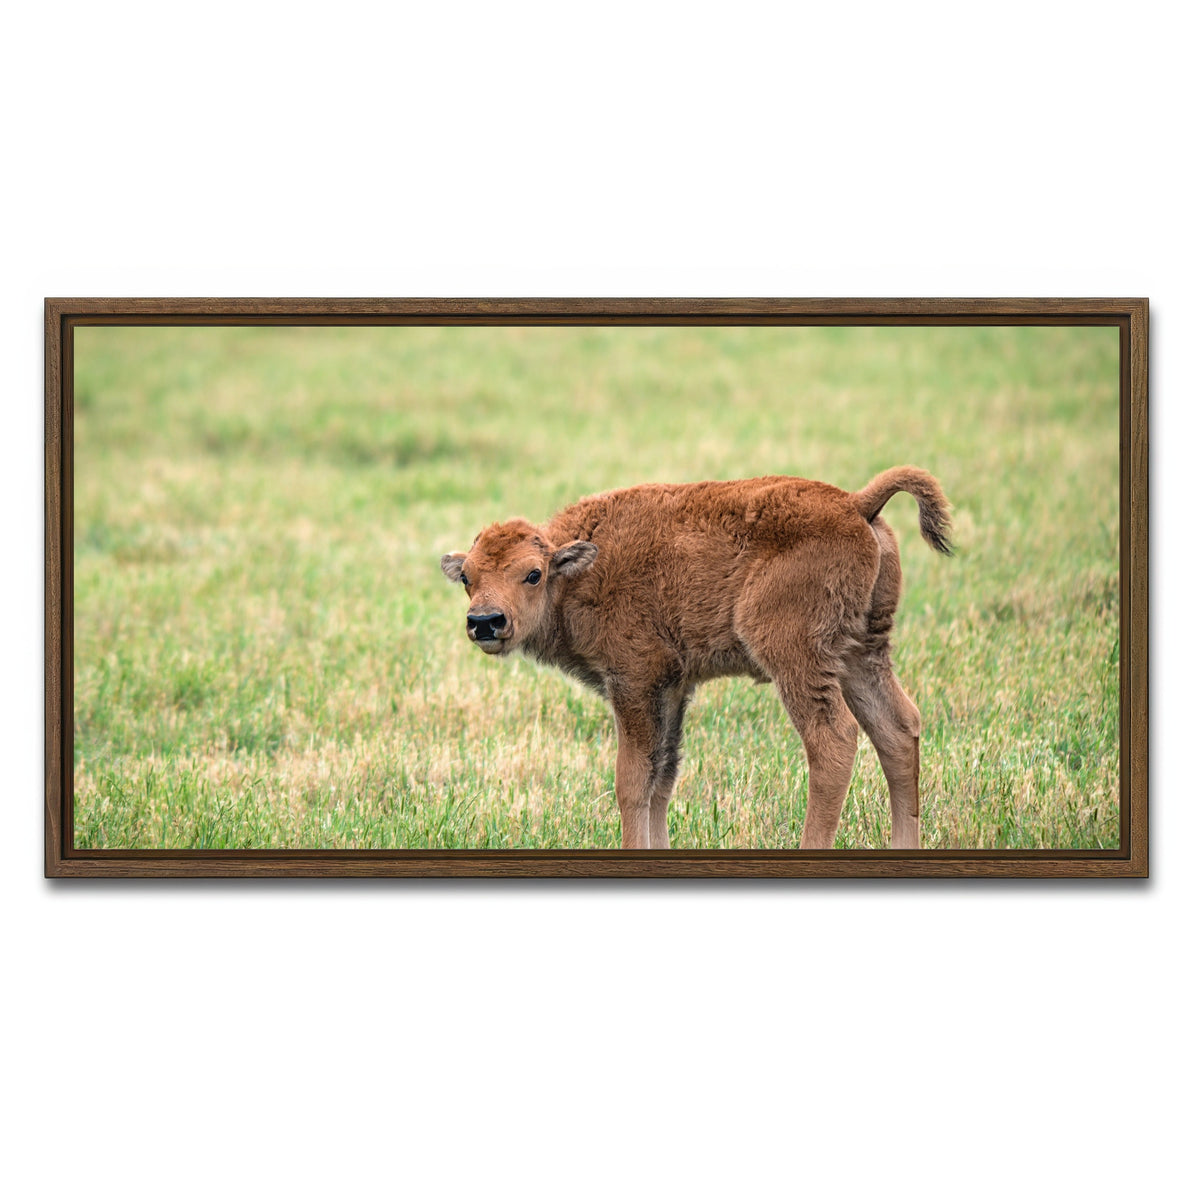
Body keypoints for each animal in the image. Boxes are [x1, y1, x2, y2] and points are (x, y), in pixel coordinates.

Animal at [440, 467, 952, 851]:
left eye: (533, 574)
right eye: (467, 577)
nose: (485, 621)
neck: (578, 570)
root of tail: (855, 503)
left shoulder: (634, 681)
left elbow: (632, 781)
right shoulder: (672, 688)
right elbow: (662, 778)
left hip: (799, 658)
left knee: (834, 740)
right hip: (861, 653)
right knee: (897, 728)